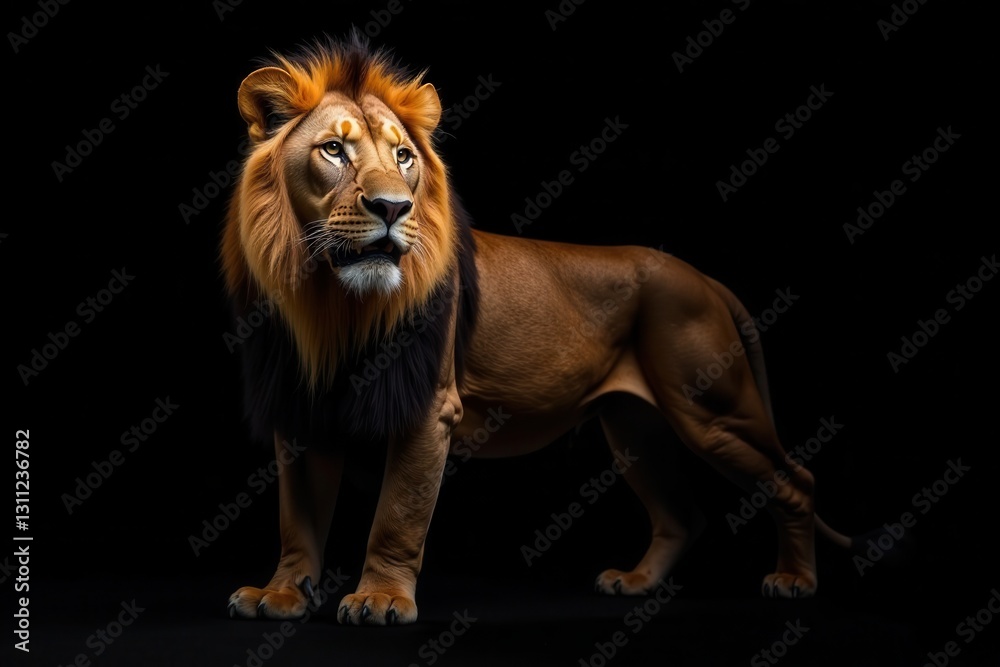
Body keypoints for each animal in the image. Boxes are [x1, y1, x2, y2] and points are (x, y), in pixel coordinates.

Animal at [222, 34, 854, 626]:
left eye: (403, 157)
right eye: (333, 149)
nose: (394, 208)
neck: (329, 302)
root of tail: (701, 276)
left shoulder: (431, 407)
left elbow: (397, 516)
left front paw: (380, 599)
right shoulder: (299, 408)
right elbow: (297, 520)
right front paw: (281, 594)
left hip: (712, 412)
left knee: (796, 481)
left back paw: (794, 581)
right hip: (636, 426)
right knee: (683, 515)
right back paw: (636, 583)